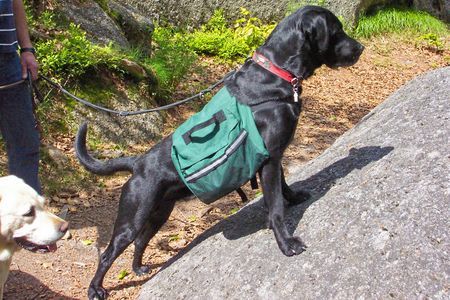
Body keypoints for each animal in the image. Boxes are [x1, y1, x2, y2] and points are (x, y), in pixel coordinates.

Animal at [75, 5, 364, 298]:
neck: (277, 74)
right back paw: (95, 289)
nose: (361, 48)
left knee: (140, 241)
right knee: (108, 253)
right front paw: (286, 243)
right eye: (337, 30)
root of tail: (138, 162)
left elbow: (284, 186)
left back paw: (138, 268)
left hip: (158, 213)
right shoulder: (270, 160)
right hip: (132, 216)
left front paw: (294, 198)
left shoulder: (274, 156)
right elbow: (275, 208)